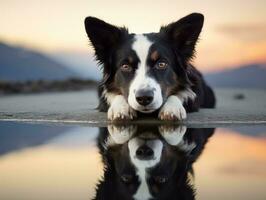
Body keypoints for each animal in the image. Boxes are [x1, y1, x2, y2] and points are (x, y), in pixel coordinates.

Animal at [84, 13, 215, 122]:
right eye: (125, 66)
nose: (144, 98)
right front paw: (121, 108)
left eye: (161, 64)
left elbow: (183, 93)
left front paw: (172, 107)